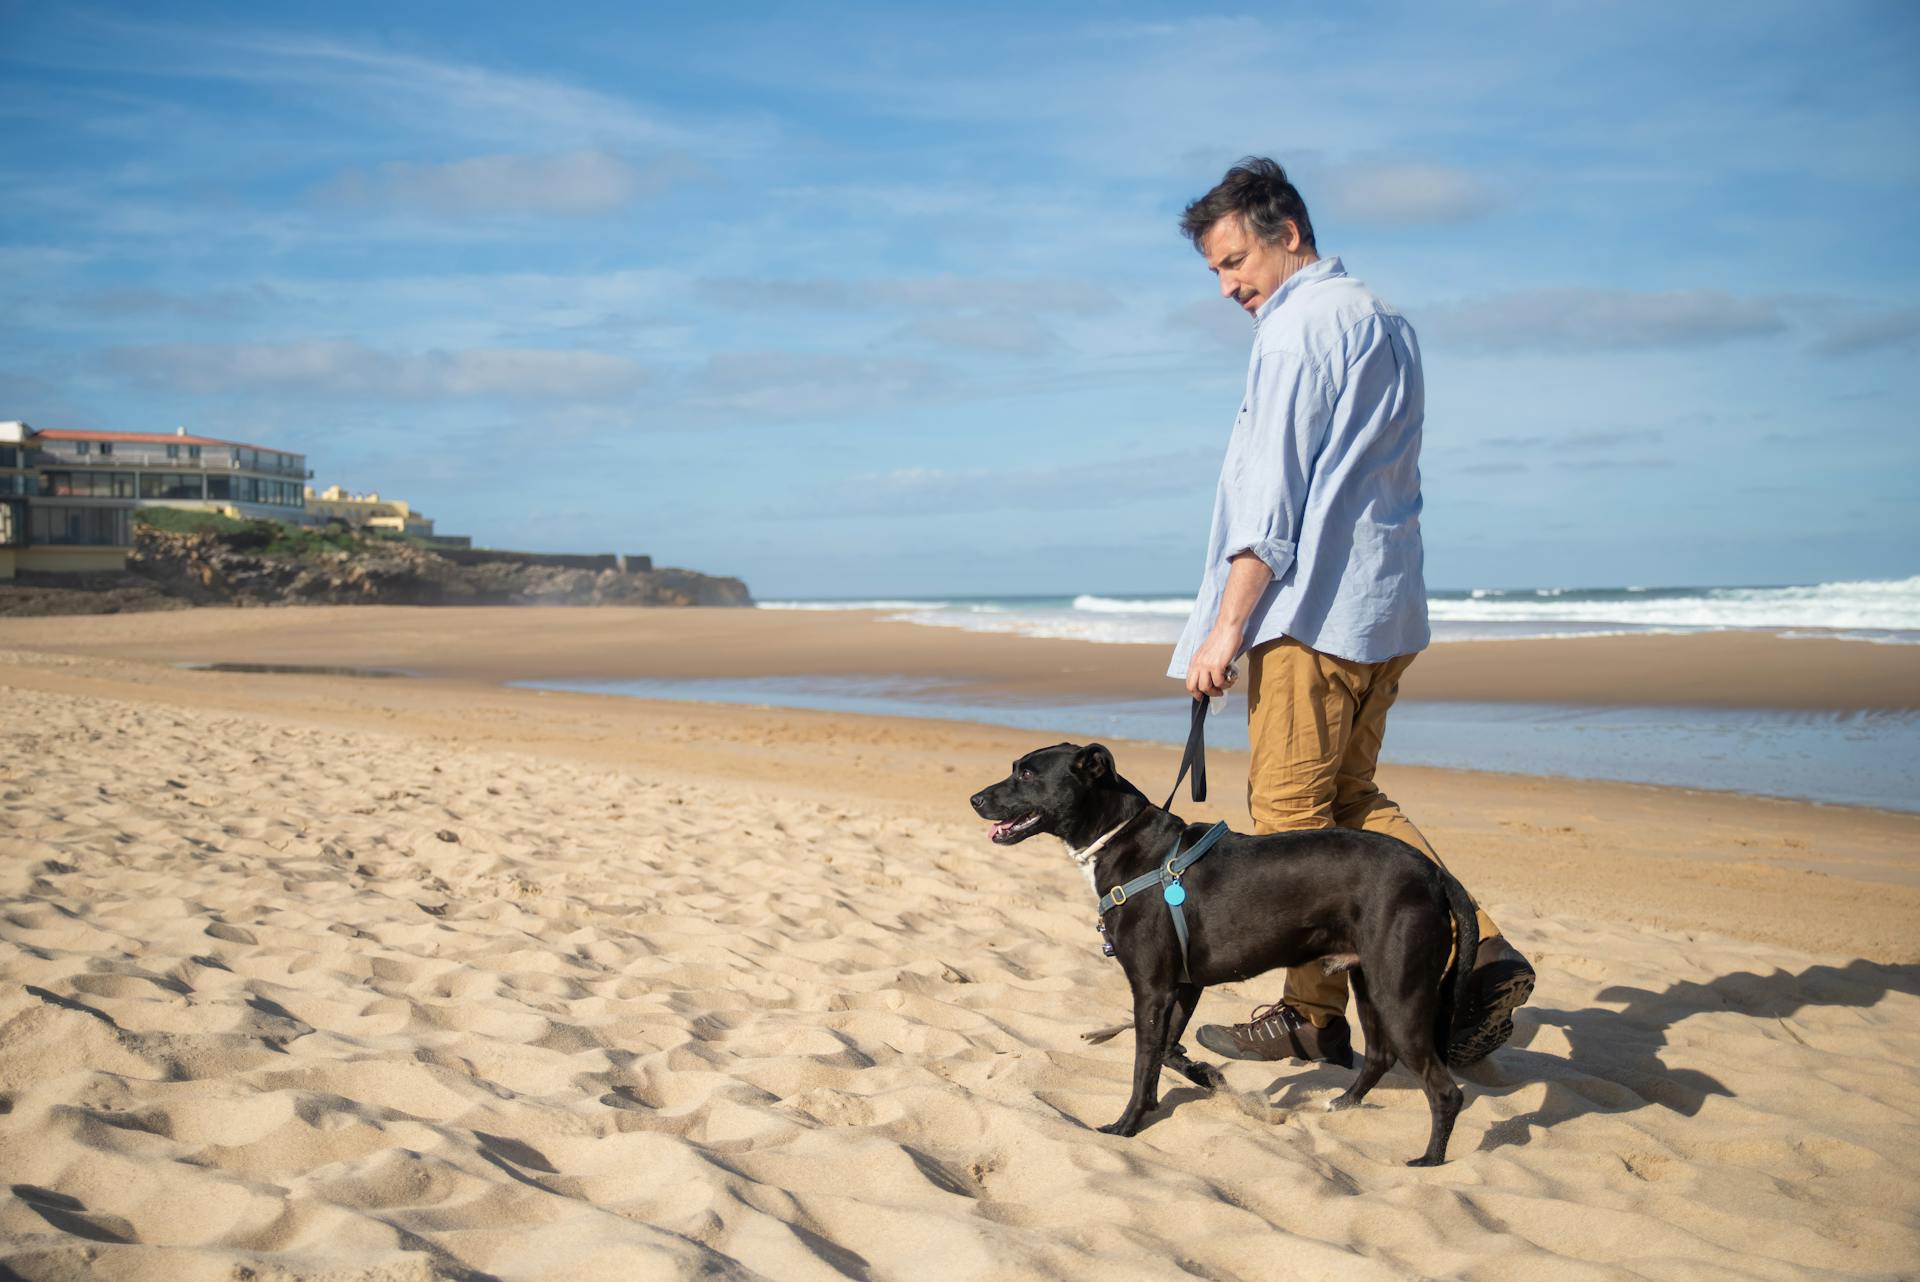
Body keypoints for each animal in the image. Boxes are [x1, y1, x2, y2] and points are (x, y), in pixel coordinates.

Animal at [967, 736, 1474, 1166]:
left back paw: (1430, 1159)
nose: (975, 799)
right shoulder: (1183, 986)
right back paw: (1343, 1102)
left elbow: (1143, 1062)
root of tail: (1435, 874)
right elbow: (1166, 1052)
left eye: (1027, 774)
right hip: (1369, 982)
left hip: (1399, 994)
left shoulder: (1152, 990)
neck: (1125, 839)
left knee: (1444, 1090)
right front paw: (1204, 1076)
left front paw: (1127, 1125)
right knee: (1380, 1056)